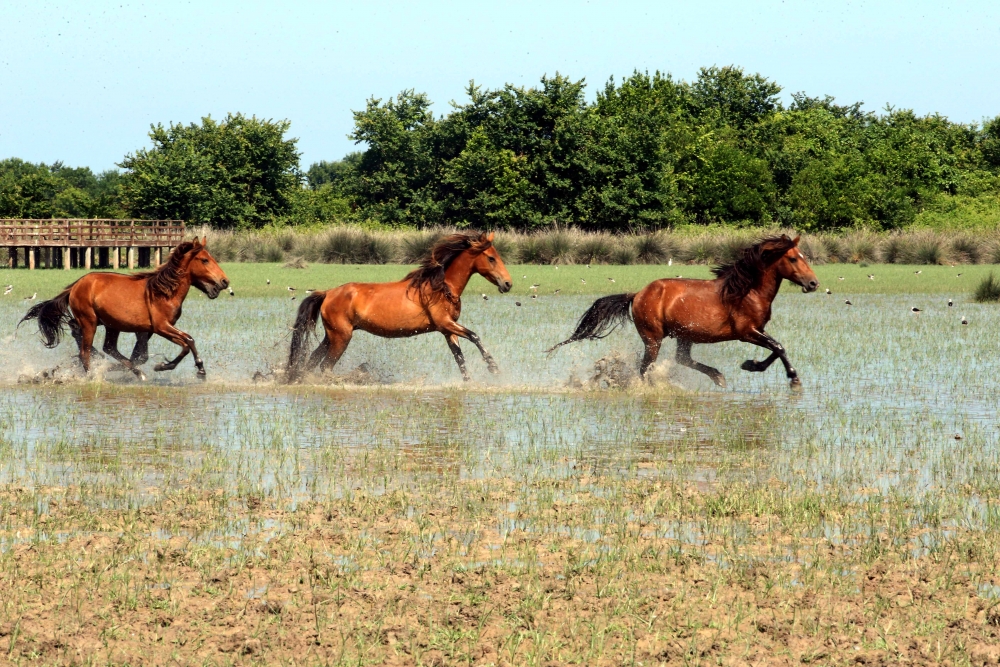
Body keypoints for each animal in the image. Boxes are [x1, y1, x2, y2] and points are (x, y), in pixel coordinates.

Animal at [19, 237, 229, 378]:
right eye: (204, 260)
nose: (225, 281)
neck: (164, 291)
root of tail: (76, 285)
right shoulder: (161, 327)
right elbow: (188, 341)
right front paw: (186, 368)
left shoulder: (146, 330)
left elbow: (140, 357)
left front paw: (144, 368)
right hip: (90, 321)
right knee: (85, 352)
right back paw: (91, 375)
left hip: (109, 324)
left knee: (101, 344)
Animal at [286, 232, 512, 384]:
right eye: (491, 258)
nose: (508, 284)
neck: (442, 287)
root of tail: (328, 293)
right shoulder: (445, 323)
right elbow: (474, 336)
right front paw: (493, 367)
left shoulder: (448, 330)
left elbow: (459, 358)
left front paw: (469, 382)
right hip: (341, 337)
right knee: (325, 366)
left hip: (331, 336)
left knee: (312, 361)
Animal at [548, 236, 820, 388]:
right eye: (794, 258)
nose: (813, 283)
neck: (747, 291)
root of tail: (637, 294)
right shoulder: (747, 332)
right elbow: (779, 347)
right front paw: (793, 379)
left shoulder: (758, 331)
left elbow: (776, 349)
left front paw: (751, 364)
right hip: (653, 338)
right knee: (645, 367)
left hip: (684, 335)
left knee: (682, 359)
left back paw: (717, 377)